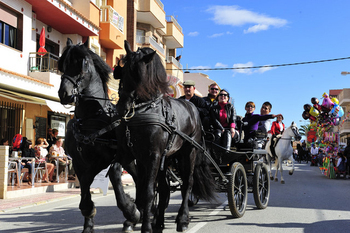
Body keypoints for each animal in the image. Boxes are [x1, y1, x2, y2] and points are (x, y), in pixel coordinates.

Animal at [57, 38, 139, 233]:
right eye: (63, 64)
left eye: (83, 64)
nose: (64, 93)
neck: (91, 119)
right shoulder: (80, 165)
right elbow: (85, 196)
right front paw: (88, 225)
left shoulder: (117, 158)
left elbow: (117, 182)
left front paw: (131, 211)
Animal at [113, 41, 216, 232]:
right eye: (121, 72)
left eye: (139, 75)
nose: (122, 107)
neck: (144, 110)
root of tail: (192, 108)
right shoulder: (129, 154)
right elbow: (131, 182)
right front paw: (133, 213)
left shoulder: (152, 155)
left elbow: (148, 191)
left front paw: (145, 226)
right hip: (167, 157)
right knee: (165, 188)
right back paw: (158, 222)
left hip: (188, 152)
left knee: (187, 184)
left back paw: (182, 219)